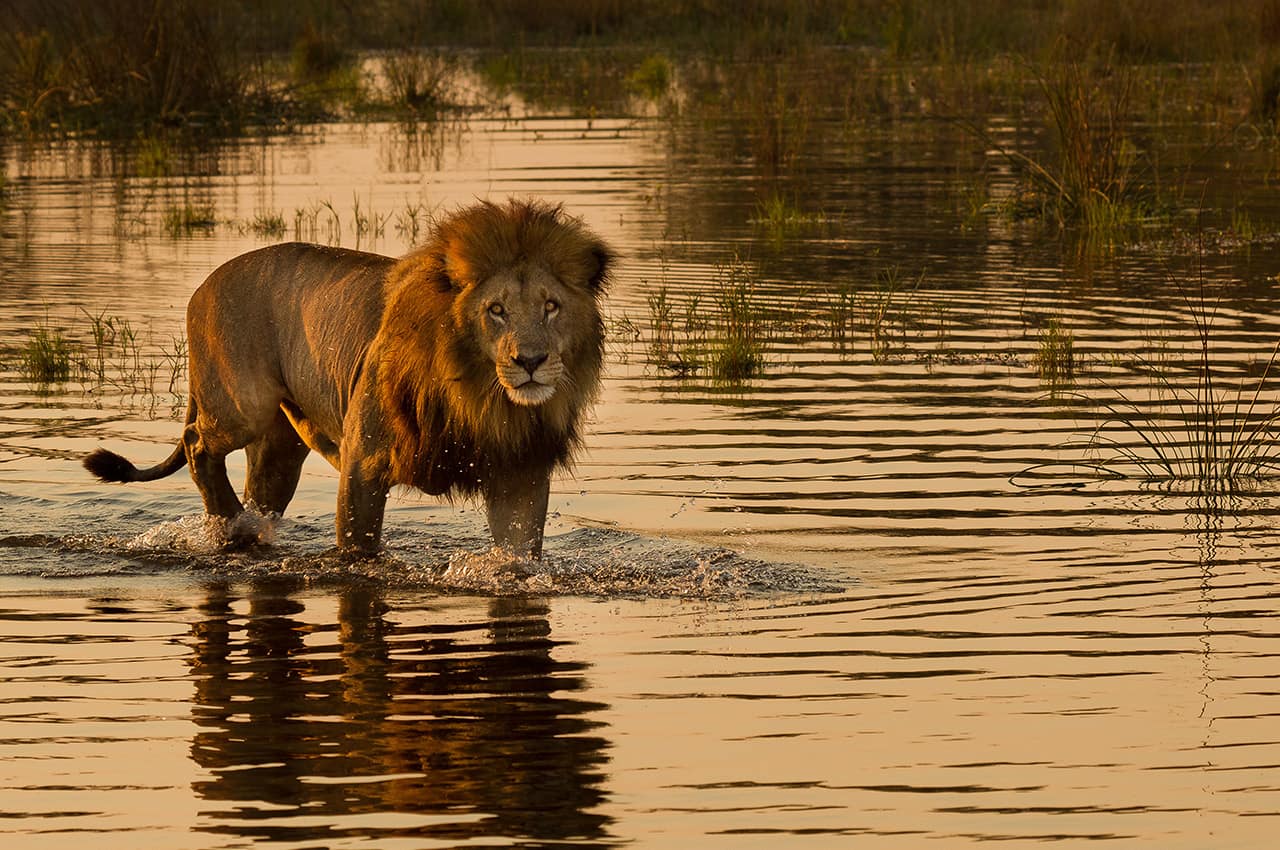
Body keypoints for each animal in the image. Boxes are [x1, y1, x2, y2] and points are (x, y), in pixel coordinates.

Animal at [83, 199, 613, 558]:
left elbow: (517, 554)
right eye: (496, 310)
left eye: (551, 306)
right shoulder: (365, 457)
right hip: (242, 406)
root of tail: (204, 284)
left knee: (259, 493)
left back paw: (246, 528)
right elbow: (359, 548)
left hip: (278, 448)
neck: (480, 397)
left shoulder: (519, 471)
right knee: (197, 442)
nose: (532, 360)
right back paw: (229, 522)